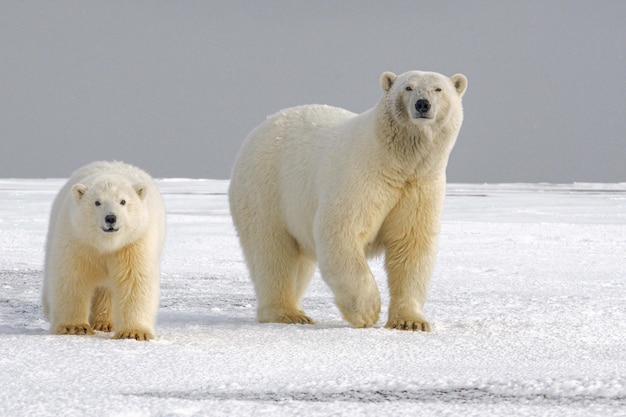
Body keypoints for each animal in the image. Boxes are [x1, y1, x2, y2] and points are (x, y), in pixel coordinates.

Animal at [43, 159, 166, 338]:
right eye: (97, 202)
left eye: (123, 201)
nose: (111, 218)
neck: (105, 244)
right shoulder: (78, 239)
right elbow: (72, 277)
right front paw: (74, 327)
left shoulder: (134, 243)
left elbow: (134, 280)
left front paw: (133, 333)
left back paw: (104, 323)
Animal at [227, 70, 466, 330]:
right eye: (408, 87)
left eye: (438, 89)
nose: (423, 104)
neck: (397, 162)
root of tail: (259, 128)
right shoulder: (362, 176)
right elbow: (341, 231)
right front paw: (367, 311)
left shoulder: (420, 186)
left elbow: (411, 245)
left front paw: (410, 322)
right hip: (267, 190)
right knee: (273, 252)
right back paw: (288, 313)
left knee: (298, 262)